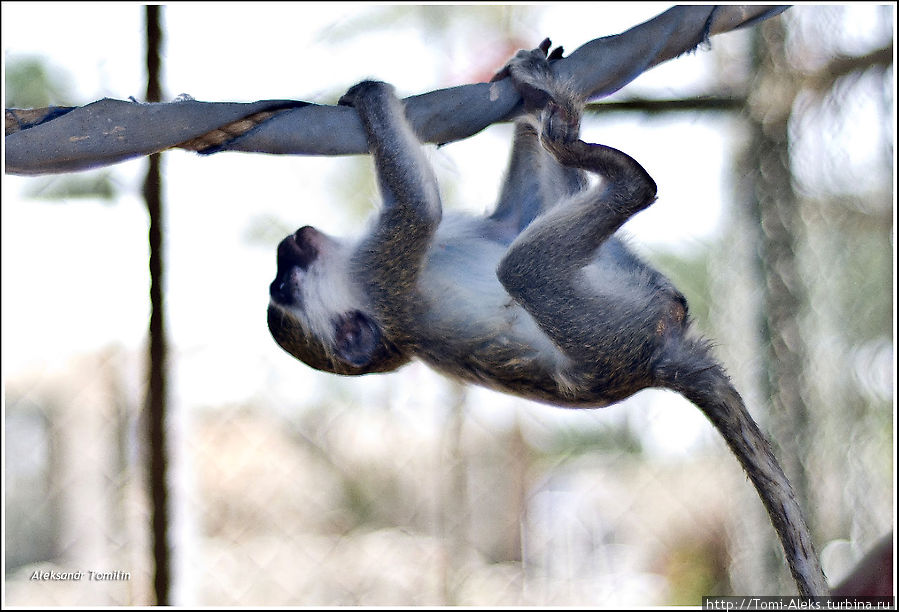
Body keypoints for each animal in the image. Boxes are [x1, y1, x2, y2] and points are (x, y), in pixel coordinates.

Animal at [268, 40, 828, 596]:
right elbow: (418, 210)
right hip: (608, 329)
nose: (283, 249)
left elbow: (514, 213)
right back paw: (599, 159)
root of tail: (654, 363)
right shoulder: (382, 270)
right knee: (524, 266)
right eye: (284, 287)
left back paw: (546, 107)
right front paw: (370, 94)